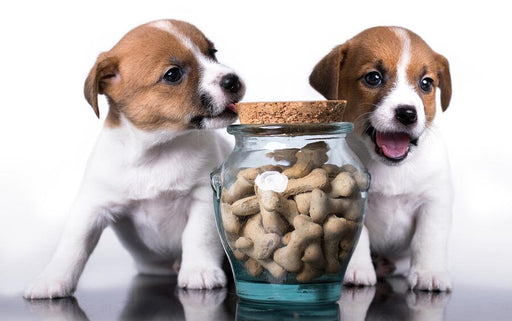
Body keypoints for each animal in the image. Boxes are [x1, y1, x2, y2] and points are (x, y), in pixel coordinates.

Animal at [25, 19, 245, 300]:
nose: (233, 80)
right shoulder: (92, 206)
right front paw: (52, 279)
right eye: (173, 74)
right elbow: (73, 245)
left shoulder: (203, 197)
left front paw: (199, 269)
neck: (157, 151)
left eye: (213, 53)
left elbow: (199, 237)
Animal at [310, 25, 454, 290]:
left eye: (426, 83)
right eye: (373, 78)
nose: (407, 113)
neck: (392, 168)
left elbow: (428, 239)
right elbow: (359, 240)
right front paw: (357, 270)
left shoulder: (434, 201)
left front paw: (429, 272)